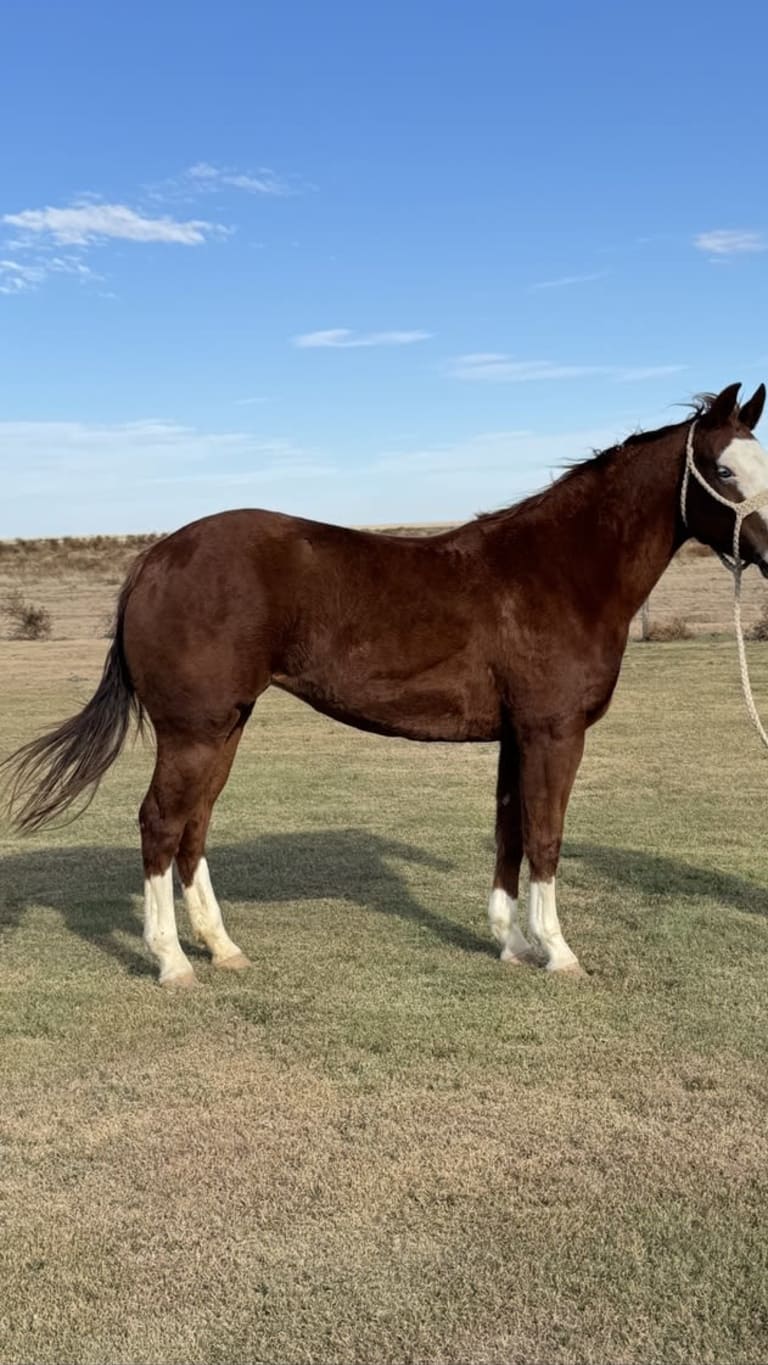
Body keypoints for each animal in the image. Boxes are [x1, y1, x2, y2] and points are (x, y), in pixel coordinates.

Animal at [4, 381, 768, 987]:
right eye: (724, 469)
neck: (557, 571)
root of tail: (154, 558)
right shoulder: (554, 733)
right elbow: (546, 838)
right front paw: (559, 952)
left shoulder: (517, 736)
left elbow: (509, 833)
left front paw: (512, 944)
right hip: (194, 731)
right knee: (161, 824)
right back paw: (171, 962)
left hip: (223, 727)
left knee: (194, 826)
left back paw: (222, 949)